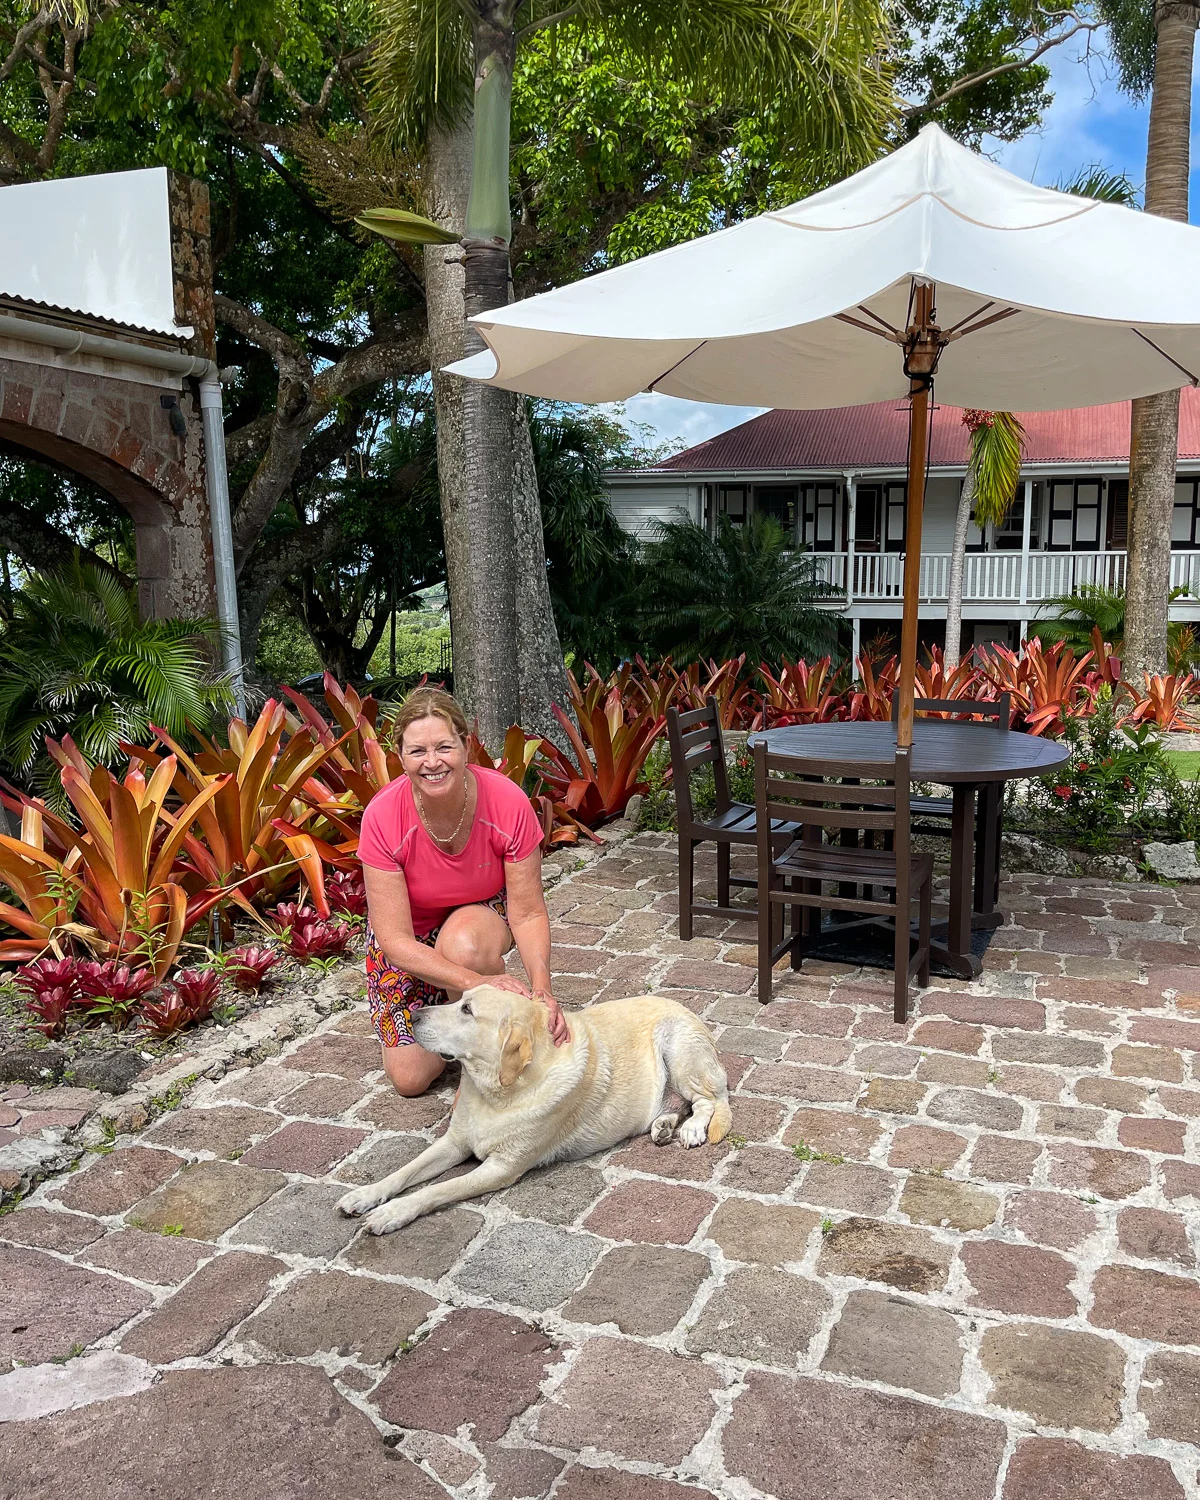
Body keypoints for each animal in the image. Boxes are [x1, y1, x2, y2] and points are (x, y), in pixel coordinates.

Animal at [337, 978, 732, 1236]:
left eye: (467, 1010)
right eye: (458, 999)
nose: (414, 1016)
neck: (498, 1093)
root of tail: (689, 1012)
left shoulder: (501, 1168)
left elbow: (435, 1190)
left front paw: (392, 1212)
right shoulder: (453, 1143)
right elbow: (404, 1172)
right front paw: (365, 1195)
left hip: (679, 1049)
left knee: (710, 1100)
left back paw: (692, 1128)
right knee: (680, 1102)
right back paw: (664, 1125)